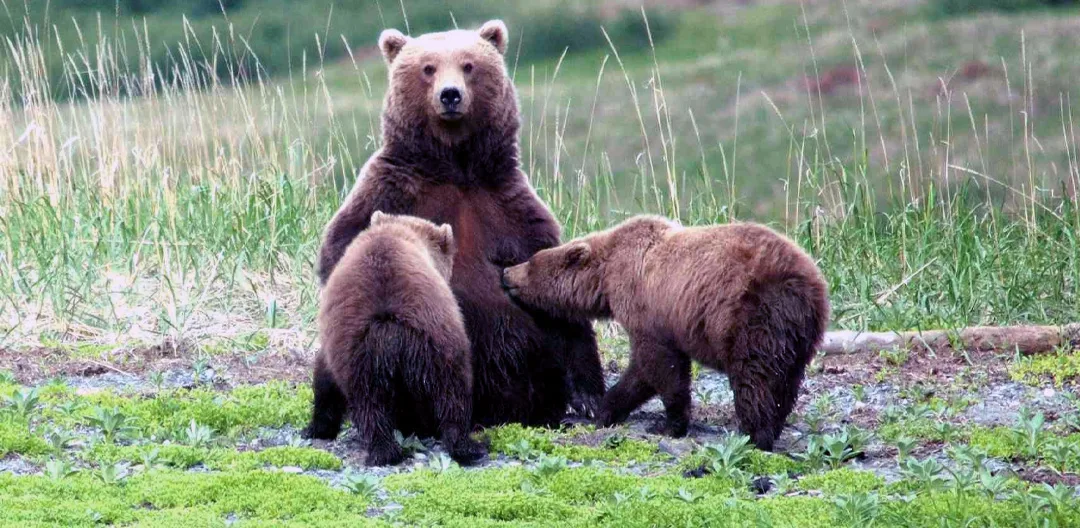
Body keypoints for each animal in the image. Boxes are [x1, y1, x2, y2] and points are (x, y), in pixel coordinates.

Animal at [302, 210, 483, 464]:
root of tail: (389, 325)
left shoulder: (332, 344)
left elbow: (324, 379)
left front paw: (316, 428)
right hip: (437, 346)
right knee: (451, 393)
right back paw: (461, 444)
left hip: (366, 353)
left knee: (374, 405)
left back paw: (386, 449)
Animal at [313, 20, 604, 427]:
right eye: (428, 67)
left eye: (468, 65)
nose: (450, 95)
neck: (456, 167)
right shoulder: (391, 190)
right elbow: (345, 248)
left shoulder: (510, 209)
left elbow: (551, 288)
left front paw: (589, 397)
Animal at [501, 215, 829, 451]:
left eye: (531, 261)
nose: (505, 273)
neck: (605, 278)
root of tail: (809, 284)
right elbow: (644, 374)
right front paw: (607, 410)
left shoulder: (648, 309)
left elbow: (660, 367)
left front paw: (667, 424)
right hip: (800, 335)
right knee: (785, 381)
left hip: (755, 314)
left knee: (754, 376)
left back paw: (752, 435)